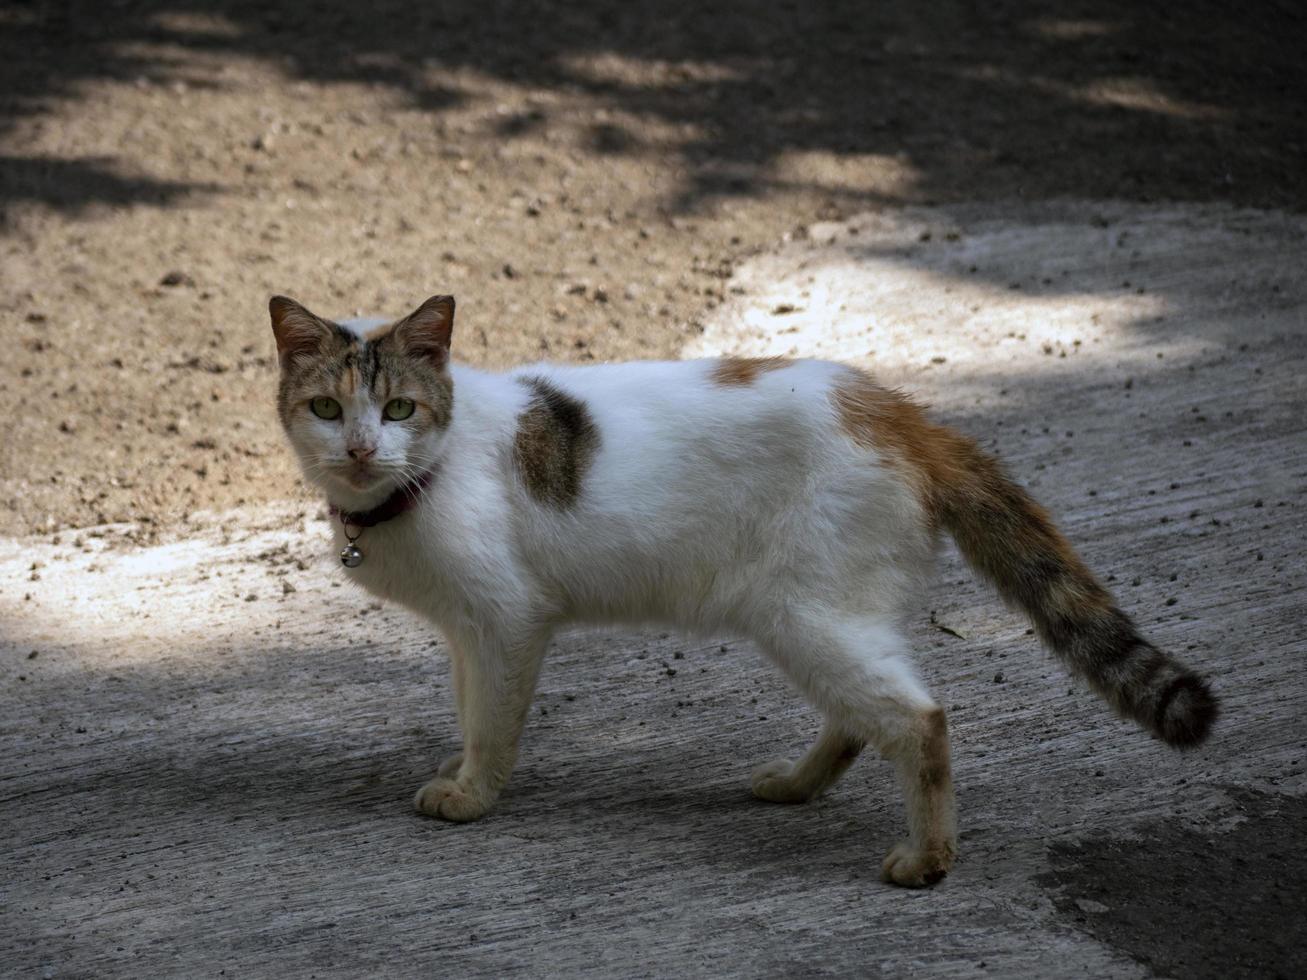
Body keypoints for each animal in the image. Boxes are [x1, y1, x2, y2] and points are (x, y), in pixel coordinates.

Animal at [270, 291, 1218, 888]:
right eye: (326, 410)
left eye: (398, 409)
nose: (359, 449)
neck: (419, 476)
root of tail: (904, 413)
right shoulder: (469, 634)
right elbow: (470, 707)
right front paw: (458, 766)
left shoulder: (505, 621)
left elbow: (492, 723)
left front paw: (471, 795)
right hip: (819, 613)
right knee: (866, 715)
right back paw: (797, 785)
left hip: (805, 613)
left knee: (921, 721)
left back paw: (926, 863)